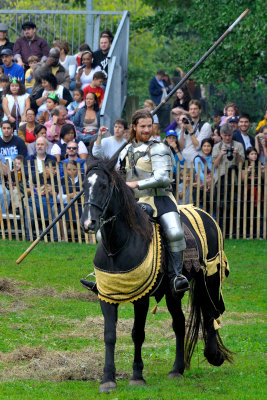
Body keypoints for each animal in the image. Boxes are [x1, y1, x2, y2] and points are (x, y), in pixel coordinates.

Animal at [80, 155, 233, 392]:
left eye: (104, 186)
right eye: (85, 187)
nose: (89, 223)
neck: (119, 245)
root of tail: (204, 213)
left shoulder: (141, 299)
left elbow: (137, 334)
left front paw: (137, 376)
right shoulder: (106, 297)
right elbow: (109, 335)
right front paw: (107, 379)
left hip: (210, 277)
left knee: (211, 311)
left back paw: (213, 354)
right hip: (173, 292)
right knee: (179, 324)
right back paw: (177, 369)